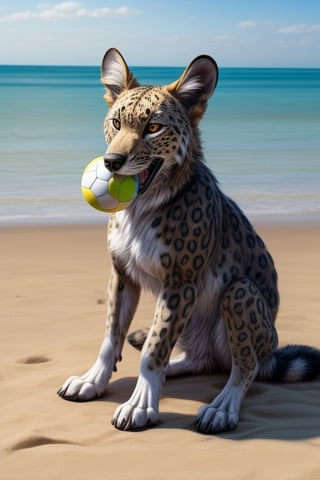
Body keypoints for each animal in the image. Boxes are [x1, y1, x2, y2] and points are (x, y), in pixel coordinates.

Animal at [58, 49, 320, 436]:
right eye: (117, 123)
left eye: (153, 127)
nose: (111, 162)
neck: (142, 208)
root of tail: (272, 351)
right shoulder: (123, 275)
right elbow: (112, 337)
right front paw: (94, 380)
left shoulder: (180, 285)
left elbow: (154, 349)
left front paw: (140, 404)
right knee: (202, 359)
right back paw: (175, 369)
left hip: (239, 293)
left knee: (245, 366)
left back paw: (222, 407)